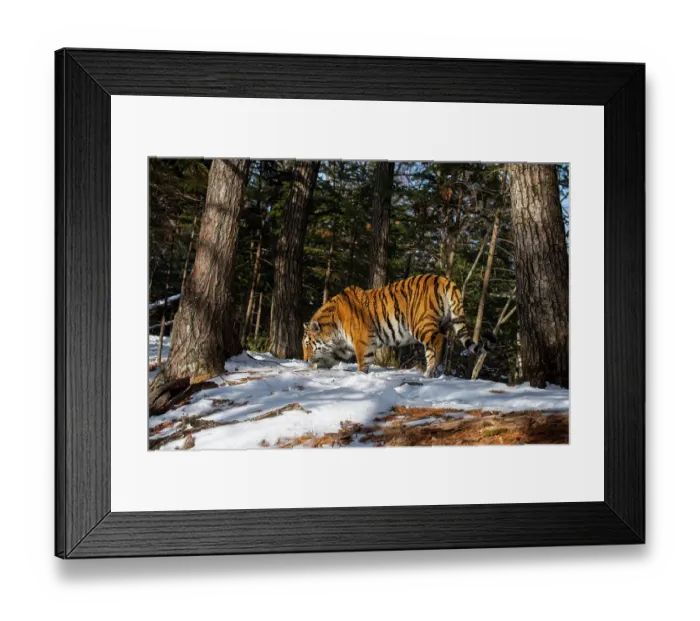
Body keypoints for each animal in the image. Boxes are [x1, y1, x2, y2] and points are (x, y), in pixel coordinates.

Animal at [302, 274, 496, 378]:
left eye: (307, 344)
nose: (304, 359)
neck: (334, 331)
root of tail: (444, 279)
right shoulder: (343, 348)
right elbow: (328, 359)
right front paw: (311, 369)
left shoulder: (362, 342)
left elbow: (362, 363)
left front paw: (360, 376)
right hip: (438, 325)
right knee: (434, 348)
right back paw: (429, 373)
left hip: (421, 324)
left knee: (441, 341)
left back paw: (434, 369)